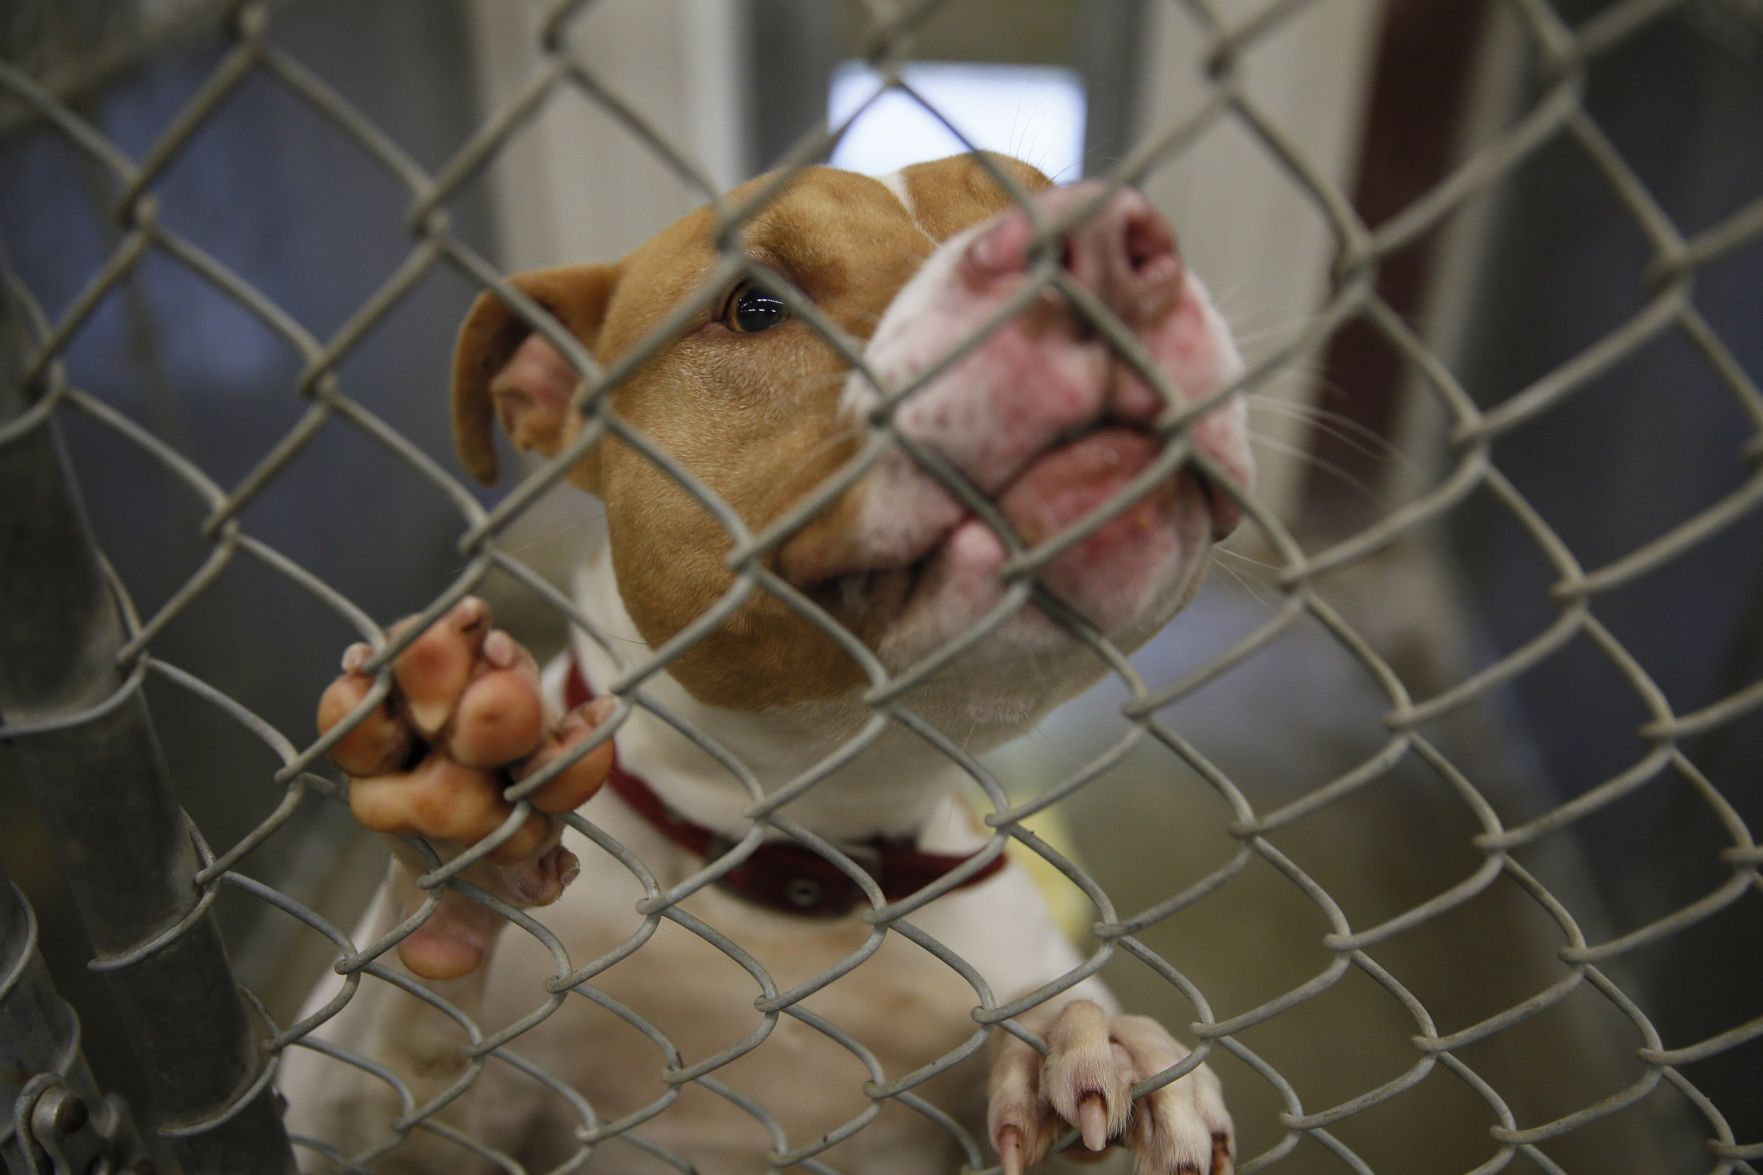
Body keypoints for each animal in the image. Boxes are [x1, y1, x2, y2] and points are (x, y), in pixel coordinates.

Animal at [282, 155, 1255, 1171]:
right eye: (754, 307)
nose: (1102, 239)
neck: (806, 839)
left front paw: (1092, 1048)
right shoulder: (406, 1117)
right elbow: (400, 1044)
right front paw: (464, 845)